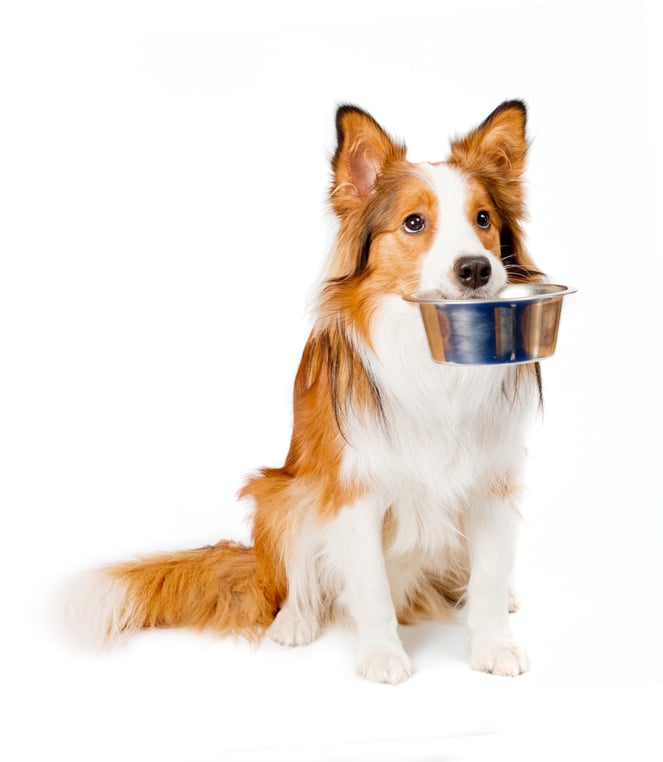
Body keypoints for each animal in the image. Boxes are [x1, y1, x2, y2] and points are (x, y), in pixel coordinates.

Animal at [71, 102, 544, 684]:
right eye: (414, 222)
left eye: (483, 220)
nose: (476, 269)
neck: (431, 359)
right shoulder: (354, 490)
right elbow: (371, 586)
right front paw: (382, 655)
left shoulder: (491, 482)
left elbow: (490, 574)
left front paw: (493, 642)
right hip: (284, 492)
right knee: (297, 579)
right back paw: (295, 620)